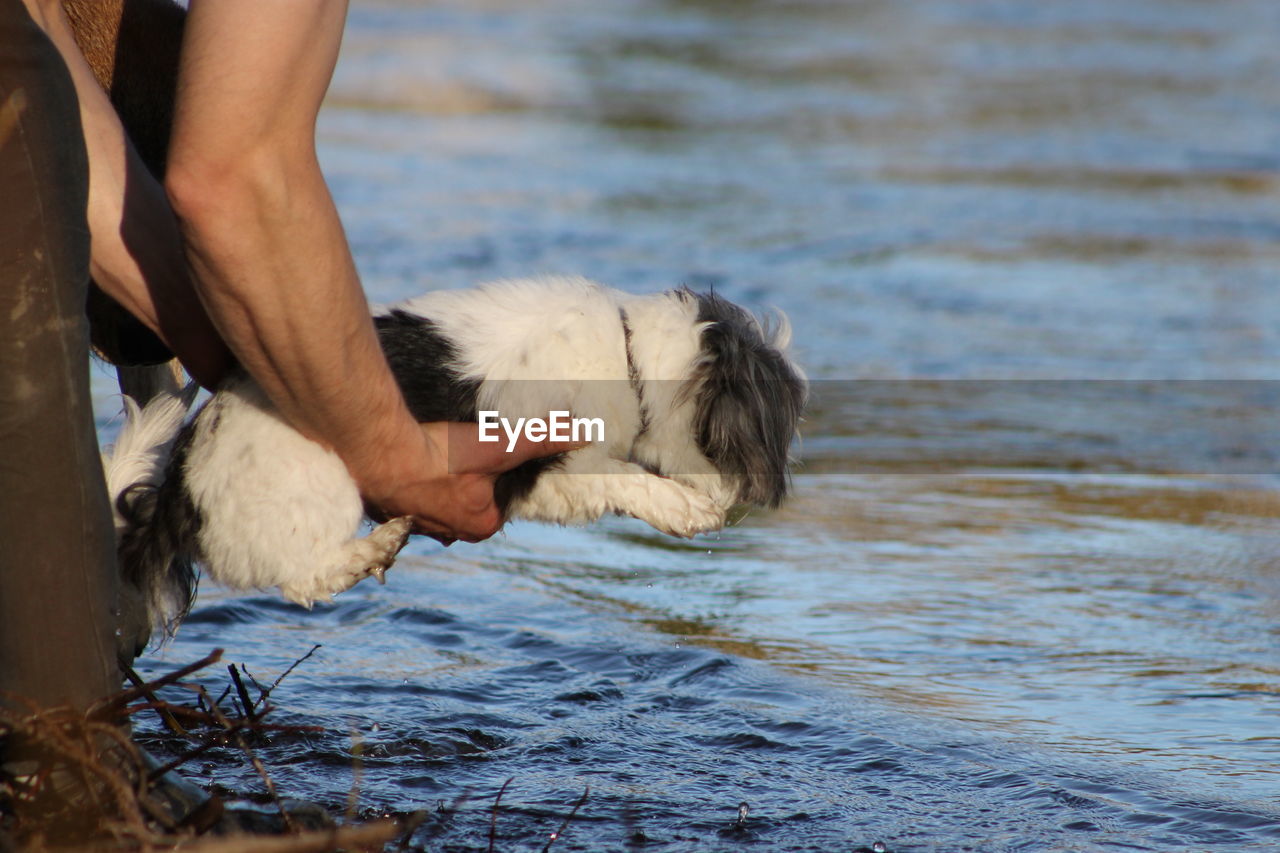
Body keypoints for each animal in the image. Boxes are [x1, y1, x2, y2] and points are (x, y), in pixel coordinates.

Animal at [104, 275, 803, 627]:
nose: (749, 498)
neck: (628, 354)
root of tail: (176, 493)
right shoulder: (545, 463)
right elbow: (626, 479)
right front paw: (685, 508)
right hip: (323, 481)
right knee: (305, 580)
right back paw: (377, 547)